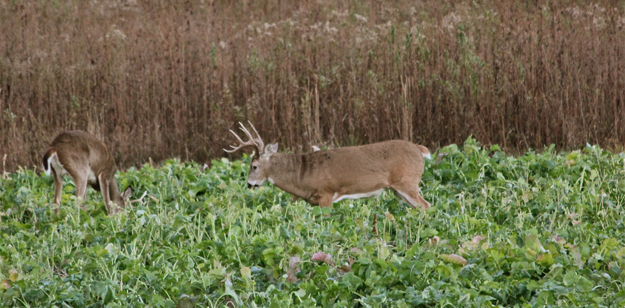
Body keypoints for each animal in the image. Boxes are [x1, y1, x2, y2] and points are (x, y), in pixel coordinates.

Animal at [225, 121, 434, 211]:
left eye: (254, 166)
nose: (249, 184)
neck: (302, 174)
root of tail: (419, 148)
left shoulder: (326, 194)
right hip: (398, 189)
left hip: (408, 182)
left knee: (426, 205)